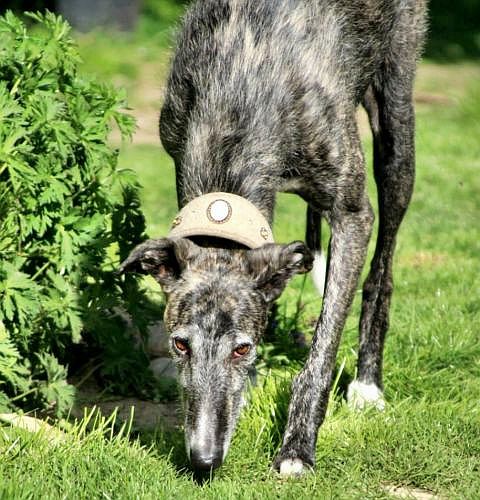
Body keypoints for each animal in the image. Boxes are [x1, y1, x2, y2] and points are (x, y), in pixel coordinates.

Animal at [120, 0, 427, 475]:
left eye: (243, 349)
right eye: (180, 344)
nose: (204, 459)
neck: (239, 94)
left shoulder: (352, 214)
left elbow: (322, 351)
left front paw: (297, 448)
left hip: (396, 118)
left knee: (383, 267)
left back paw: (367, 383)